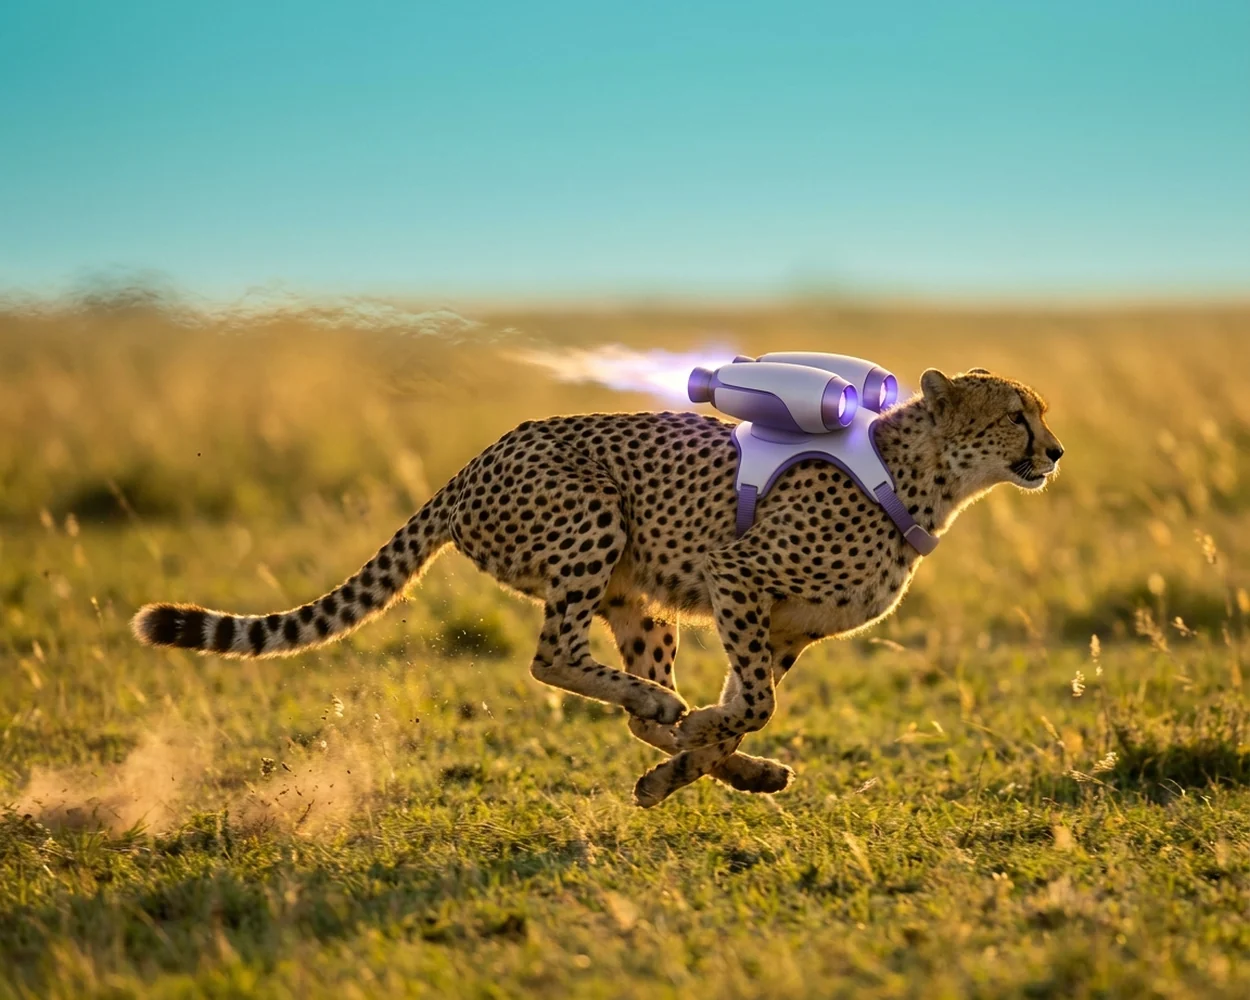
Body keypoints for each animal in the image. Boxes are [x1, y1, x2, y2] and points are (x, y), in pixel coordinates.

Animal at [132, 366, 1063, 807]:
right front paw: (708, 738)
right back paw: (663, 708)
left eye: (1040, 414)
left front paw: (700, 764)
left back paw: (698, 742)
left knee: (631, 697)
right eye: (1014, 415)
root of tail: (476, 458)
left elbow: (744, 707)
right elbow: (755, 701)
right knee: (552, 655)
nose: (1055, 452)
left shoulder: (789, 627)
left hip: (635, 595)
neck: (925, 477)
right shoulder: (735, 573)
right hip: (593, 518)